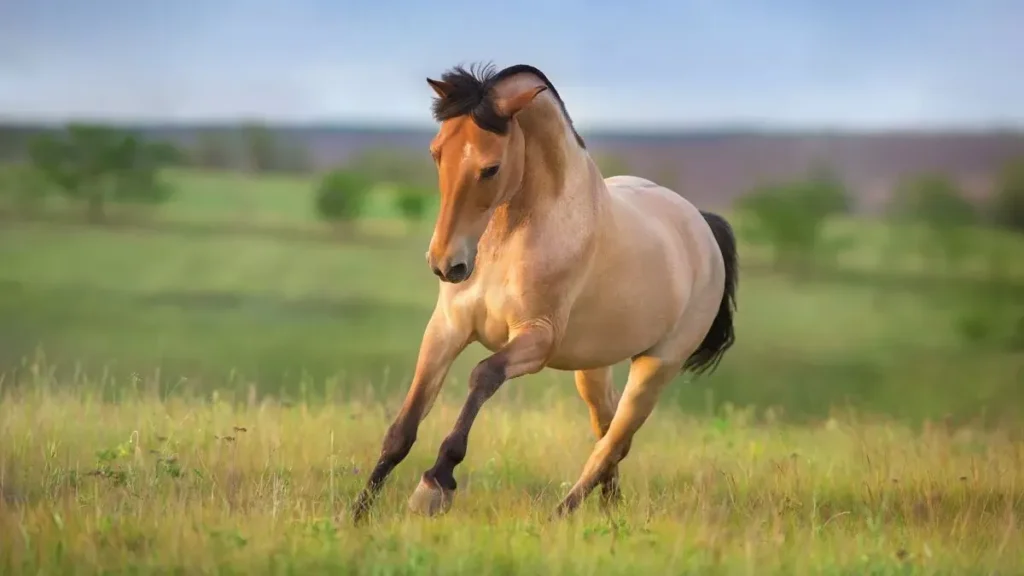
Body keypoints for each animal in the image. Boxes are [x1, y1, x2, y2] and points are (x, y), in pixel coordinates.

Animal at [351, 62, 738, 522]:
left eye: (491, 168)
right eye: (436, 152)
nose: (447, 265)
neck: (509, 239)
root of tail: (701, 225)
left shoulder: (536, 340)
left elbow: (483, 375)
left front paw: (435, 483)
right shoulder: (447, 329)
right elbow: (403, 427)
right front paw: (357, 513)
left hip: (657, 367)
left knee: (613, 444)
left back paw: (560, 517)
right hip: (592, 369)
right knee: (607, 432)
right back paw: (608, 512)